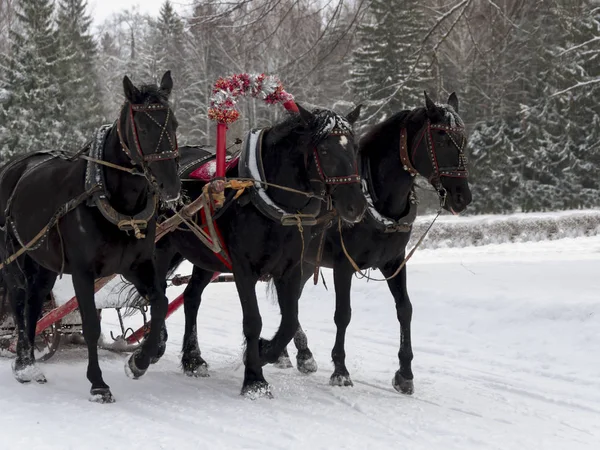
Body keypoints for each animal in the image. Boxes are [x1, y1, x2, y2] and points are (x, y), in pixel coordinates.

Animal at [0, 72, 180, 402]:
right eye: (143, 127)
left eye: (172, 123)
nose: (171, 186)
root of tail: (12, 168)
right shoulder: (83, 272)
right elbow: (91, 326)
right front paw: (98, 383)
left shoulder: (136, 265)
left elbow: (160, 303)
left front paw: (139, 361)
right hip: (12, 258)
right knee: (18, 302)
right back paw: (23, 363)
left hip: (43, 264)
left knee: (34, 304)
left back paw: (29, 364)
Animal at [139, 104, 366, 398]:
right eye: (325, 151)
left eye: (355, 147)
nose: (356, 205)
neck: (268, 199)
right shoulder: (243, 268)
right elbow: (253, 321)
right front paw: (255, 380)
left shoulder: (290, 269)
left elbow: (289, 321)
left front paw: (263, 350)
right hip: (162, 247)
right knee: (159, 293)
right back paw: (155, 345)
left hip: (207, 256)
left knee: (190, 298)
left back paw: (193, 359)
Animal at [278, 91, 474, 394]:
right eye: (440, 139)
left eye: (462, 138)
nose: (462, 196)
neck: (375, 197)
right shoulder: (344, 266)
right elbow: (343, 314)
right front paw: (340, 370)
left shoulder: (394, 262)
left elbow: (405, 309)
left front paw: (405, 373)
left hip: (305, 262)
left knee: (291, 299)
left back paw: (296, 353)